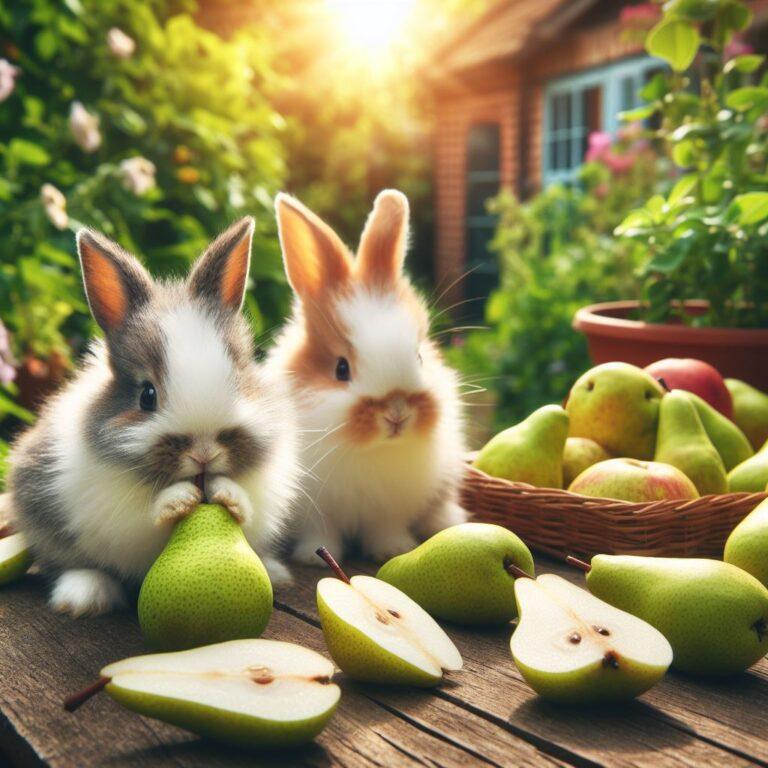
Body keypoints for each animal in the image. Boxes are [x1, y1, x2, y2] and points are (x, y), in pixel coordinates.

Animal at [6, 219, 300, 616]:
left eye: (239, 380)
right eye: (147, 395)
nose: (204, 455)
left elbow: (246, 504)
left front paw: (227, 492)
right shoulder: (118, 515)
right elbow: (145, 520)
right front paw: (175, 500)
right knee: (66, 562)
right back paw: (84, 596)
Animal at [266, 188, 468, 560]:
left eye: (419, 356)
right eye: (341, 368)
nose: (397, 414)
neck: (367, 451)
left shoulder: (390, 505)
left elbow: (385, 527)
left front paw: (393, 549)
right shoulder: (316, 509)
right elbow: (321, 533)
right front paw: (312, 556)